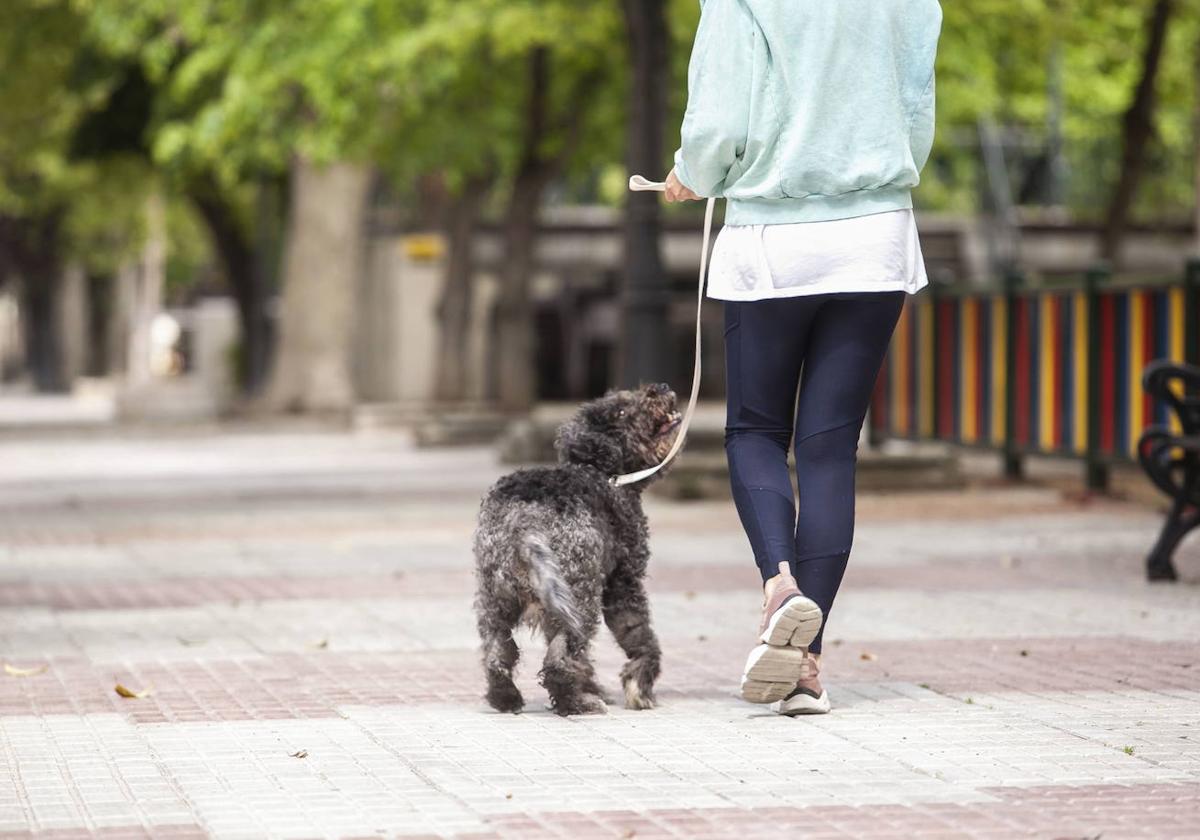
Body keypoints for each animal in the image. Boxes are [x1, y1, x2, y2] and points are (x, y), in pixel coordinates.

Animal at [472, 381, 681, 715]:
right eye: (621, 412)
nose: (659, 388)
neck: (599, 470)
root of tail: (524, 519)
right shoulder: (622, 582)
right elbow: (639, 635)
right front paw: (639, 687)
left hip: (498, 598)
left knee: (497, 653)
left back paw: (506, 697)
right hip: (579, 596)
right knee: (558, 660)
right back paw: (578, 703)